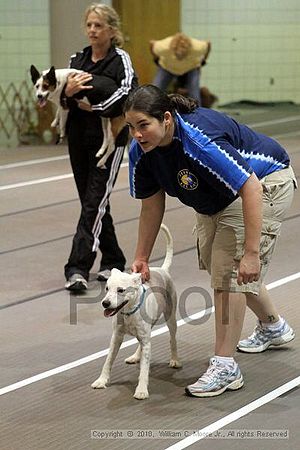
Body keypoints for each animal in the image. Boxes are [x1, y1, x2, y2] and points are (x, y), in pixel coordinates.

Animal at [91, 225, 182, 400]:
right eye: (107, 288)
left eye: (121, 290)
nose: (105, 303)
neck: (128, 313)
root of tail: (163, 270)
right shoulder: (116, 337)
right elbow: (108, 361)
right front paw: (101, 381)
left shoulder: (146, 340)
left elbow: (144, 370)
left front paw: (141, 390)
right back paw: (135, 357)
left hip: (171, 318)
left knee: (172, 338)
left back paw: (175, 360)